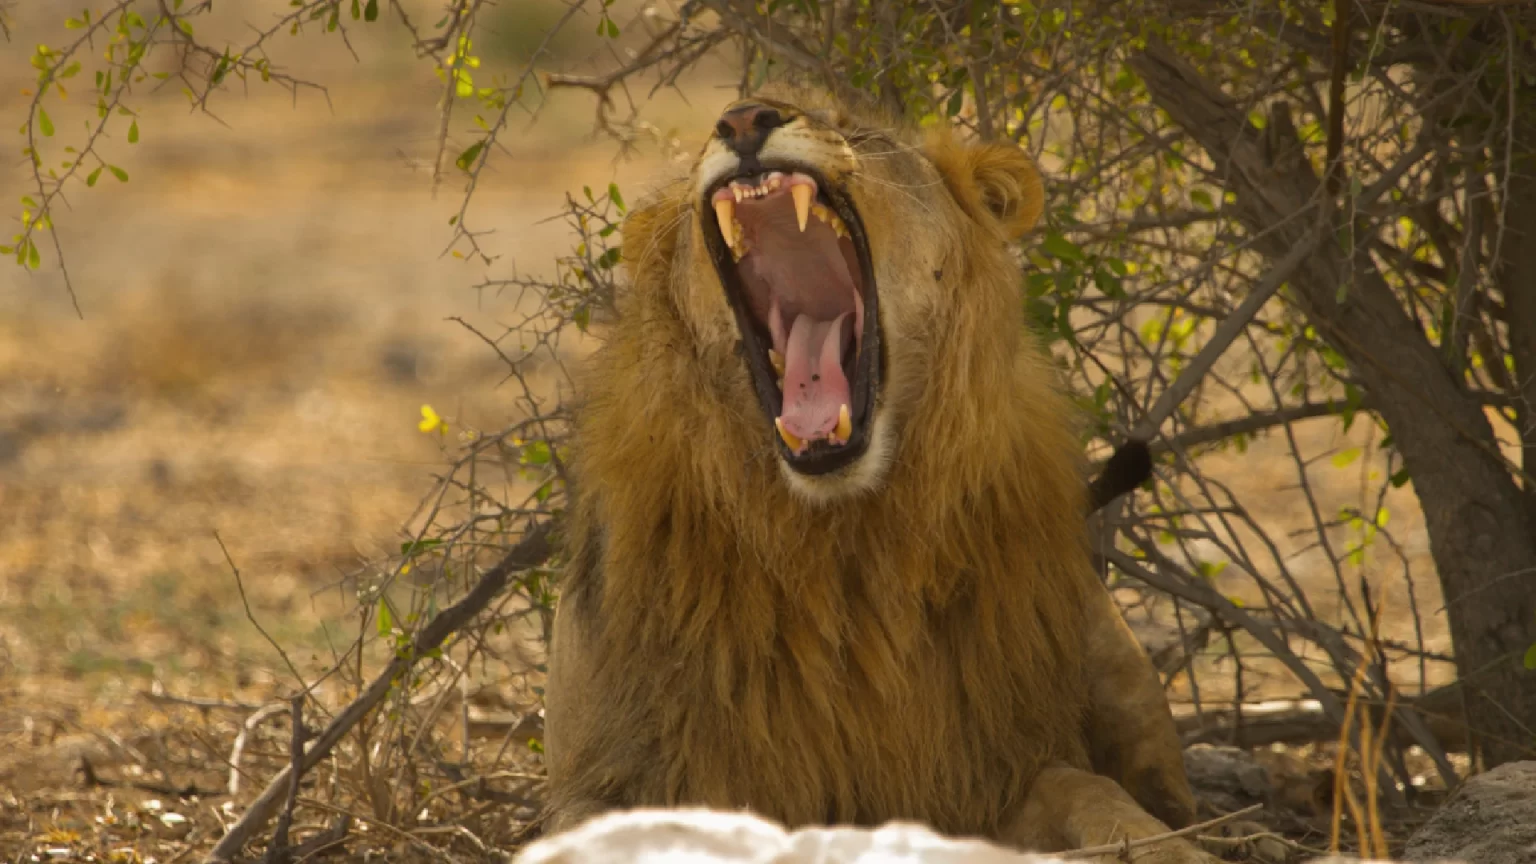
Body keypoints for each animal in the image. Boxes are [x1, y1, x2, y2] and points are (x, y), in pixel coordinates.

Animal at [540, 91, 1216, 864]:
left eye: (854, 129)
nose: (743, 120)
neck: (840, 535)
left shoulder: (980, 774)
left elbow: (1088, 789)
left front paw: (1170, 846)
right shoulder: (604, 775)